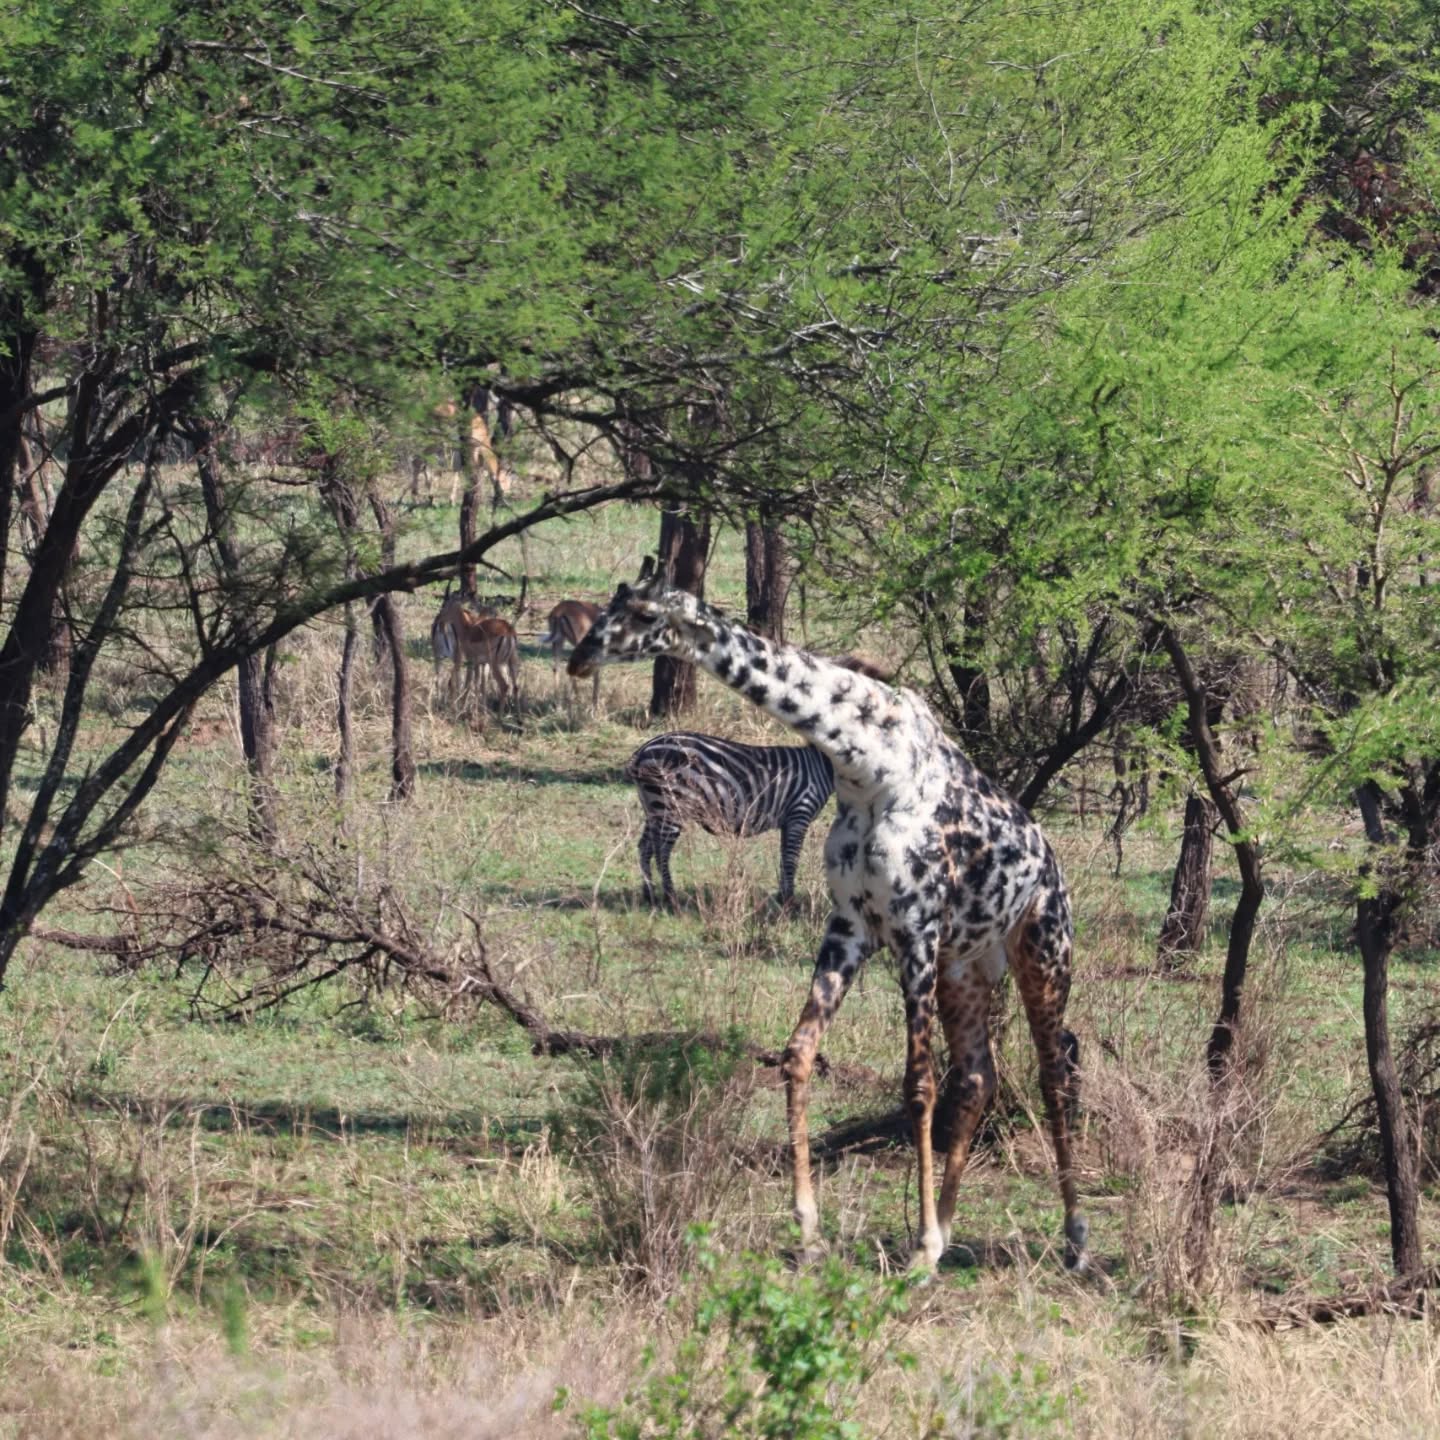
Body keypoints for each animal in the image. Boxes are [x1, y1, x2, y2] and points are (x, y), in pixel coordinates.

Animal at [568, 557, 1088, 1273]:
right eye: (609, 604)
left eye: (645, 615)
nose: (578, 657)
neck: (867, 767)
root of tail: (1053, 864)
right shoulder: (851, 924)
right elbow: (798, 1055)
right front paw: (812, 1229)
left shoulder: (914, 928)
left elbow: (918, 1085)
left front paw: (918, 1248)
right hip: (967, 965)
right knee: (980, 1076)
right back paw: (949, 1227)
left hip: (1042, 949)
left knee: (1053, 1070)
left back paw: (1072, 1238)